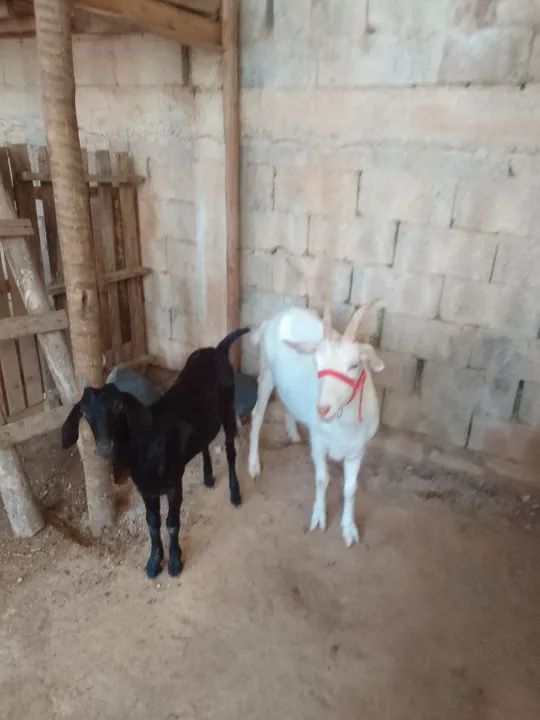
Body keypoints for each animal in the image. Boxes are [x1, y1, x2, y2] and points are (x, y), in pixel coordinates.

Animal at [61, 328, 249, 578]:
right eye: (84, 412)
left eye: (119, 407)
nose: (105, 446)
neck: (145, 445)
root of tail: (217, 349)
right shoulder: (146, 489)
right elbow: (152, 523)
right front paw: (153, 561)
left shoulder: (173, 483)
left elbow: (171, 522)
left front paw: (175, 562)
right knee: (204, 443)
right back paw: (208, 477)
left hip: (228, 407)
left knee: (230, 450)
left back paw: (235, 493)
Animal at [248, 301, 383, 546]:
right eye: (316, 363)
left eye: (354, 365)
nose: (322, 409)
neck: (343, 425)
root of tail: (275, 318)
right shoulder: (319, 443)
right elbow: (322, 480)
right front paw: (319, 518)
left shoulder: (358, 450)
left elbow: (351, 489)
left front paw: (349, 528)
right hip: (266, 372)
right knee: (257, 414)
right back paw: (253, 465)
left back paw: (293, 433)